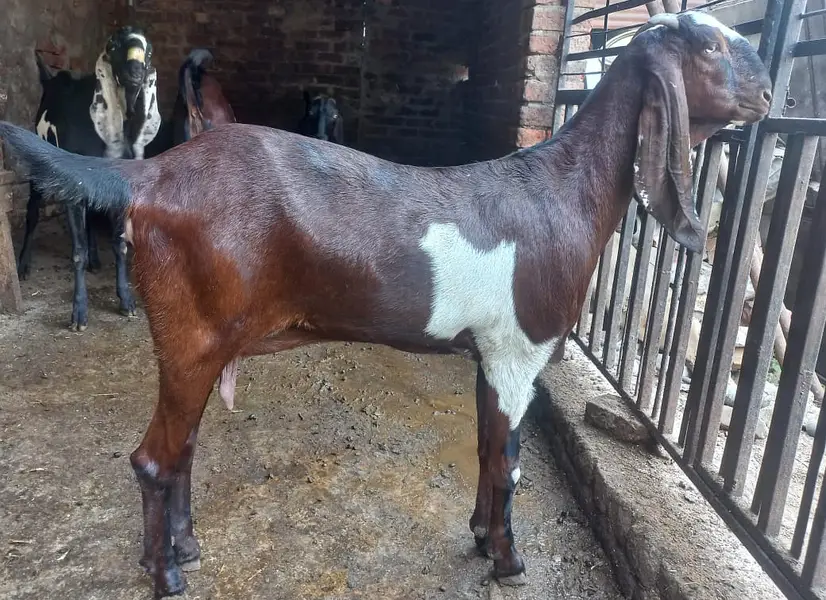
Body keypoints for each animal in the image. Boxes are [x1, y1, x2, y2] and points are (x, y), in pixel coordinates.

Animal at [15, 26, 160, 331]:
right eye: (114, 45)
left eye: (149, 50)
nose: (135, 70)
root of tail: (53, 80)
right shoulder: (73, 188)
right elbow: (77, 249)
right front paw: (79, 314)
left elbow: (120, 243)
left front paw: (126, 301)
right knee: (33, 211)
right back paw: (23, 266)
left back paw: (95, 259)